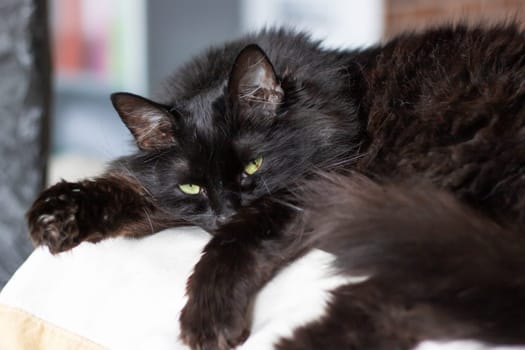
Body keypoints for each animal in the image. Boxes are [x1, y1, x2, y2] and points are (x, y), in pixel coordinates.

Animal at [27, 23, 524, 348]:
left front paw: (207, 316)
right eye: (191, 188)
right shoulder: (168, 200)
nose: (225, 211)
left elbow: (233, 244)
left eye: (254, 166)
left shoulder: (314, 187)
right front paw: (56, 214)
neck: (341, 104)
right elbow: (126, 188)